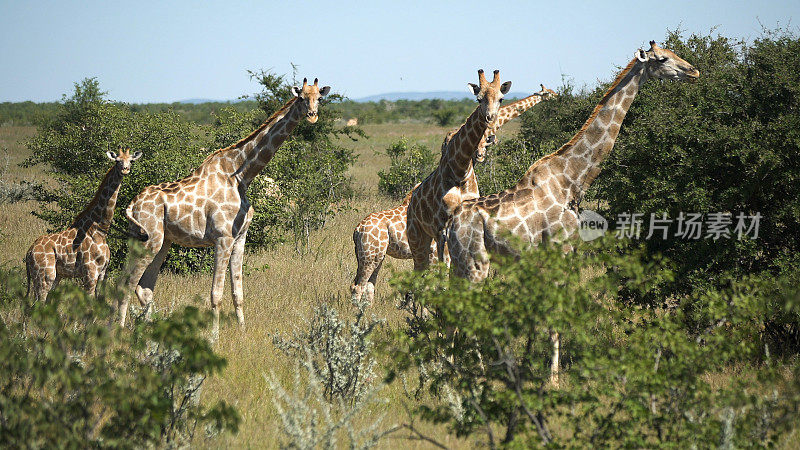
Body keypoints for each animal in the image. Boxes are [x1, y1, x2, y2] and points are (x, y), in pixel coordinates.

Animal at [25, 148, 142, 302]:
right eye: (117, 161)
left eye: (131, 161)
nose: (125, 169)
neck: (100, 231)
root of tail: (29, 252)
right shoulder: (90, 273)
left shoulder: (102, 273)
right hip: (45, 276)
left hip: (55, 277)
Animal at [119, 78, 332, 338]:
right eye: (301, 97)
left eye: (319, 98)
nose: (312, 116)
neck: (241, 176)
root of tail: (132, 205)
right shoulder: (222, 238)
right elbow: (216, 294)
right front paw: (214, 337)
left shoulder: (240, 238)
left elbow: (237, 292)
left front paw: (242, 330)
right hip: (148, 241)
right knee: (128, 284)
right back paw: (116, 331)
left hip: (158, 241)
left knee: (143, 287)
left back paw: (151, 329)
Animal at [406, 69, 512, 272]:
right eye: (479, 99)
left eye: (501, 99)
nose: (490, 118)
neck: (460, 172)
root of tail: (411, 201)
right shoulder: (442, 226)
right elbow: (446, 266)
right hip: (417, 236)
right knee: (420, 267)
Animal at [446, 42, 696, 384]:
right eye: (662, 59)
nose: (694, 71)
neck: (573, 179)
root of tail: (451, 222)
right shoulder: (560, 249)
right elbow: (554, 312)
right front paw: (552, 377)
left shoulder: (554, 254)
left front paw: (533, 363)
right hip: (477, 263)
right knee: (466, 311)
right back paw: (480, 373)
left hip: (459, 264)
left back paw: (449, 365)